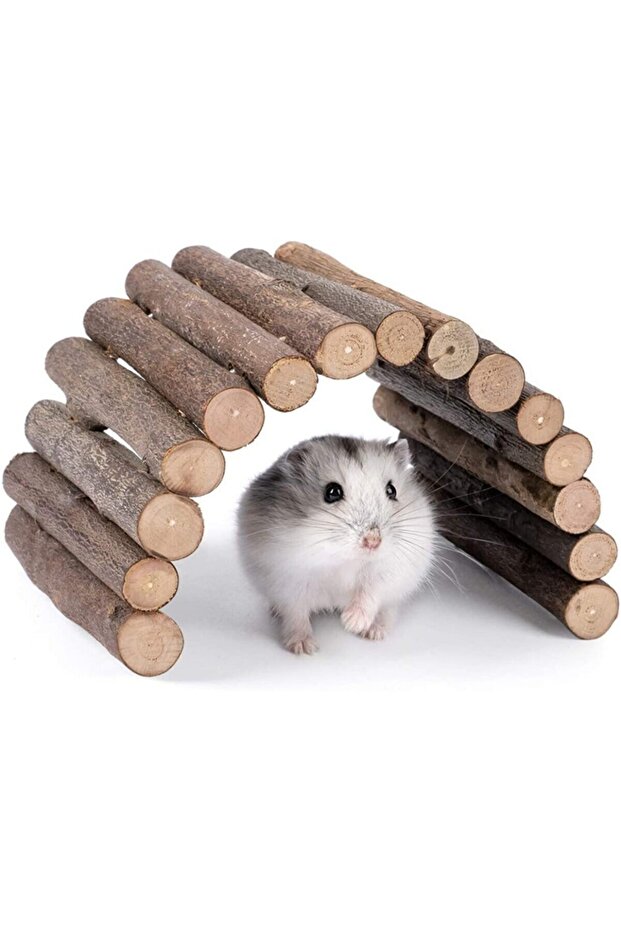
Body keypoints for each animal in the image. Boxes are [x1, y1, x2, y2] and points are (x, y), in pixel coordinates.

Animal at [237, 435, 436, 654]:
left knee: (388, 611)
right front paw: (304, 648)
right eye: (332, 492)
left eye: (391, 490)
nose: (373, 542)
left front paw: (351, 623)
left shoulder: (389, 571)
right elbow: (296, 614)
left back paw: (373, 632)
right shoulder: (289, 580)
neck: (345, 559)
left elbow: (370, 592)